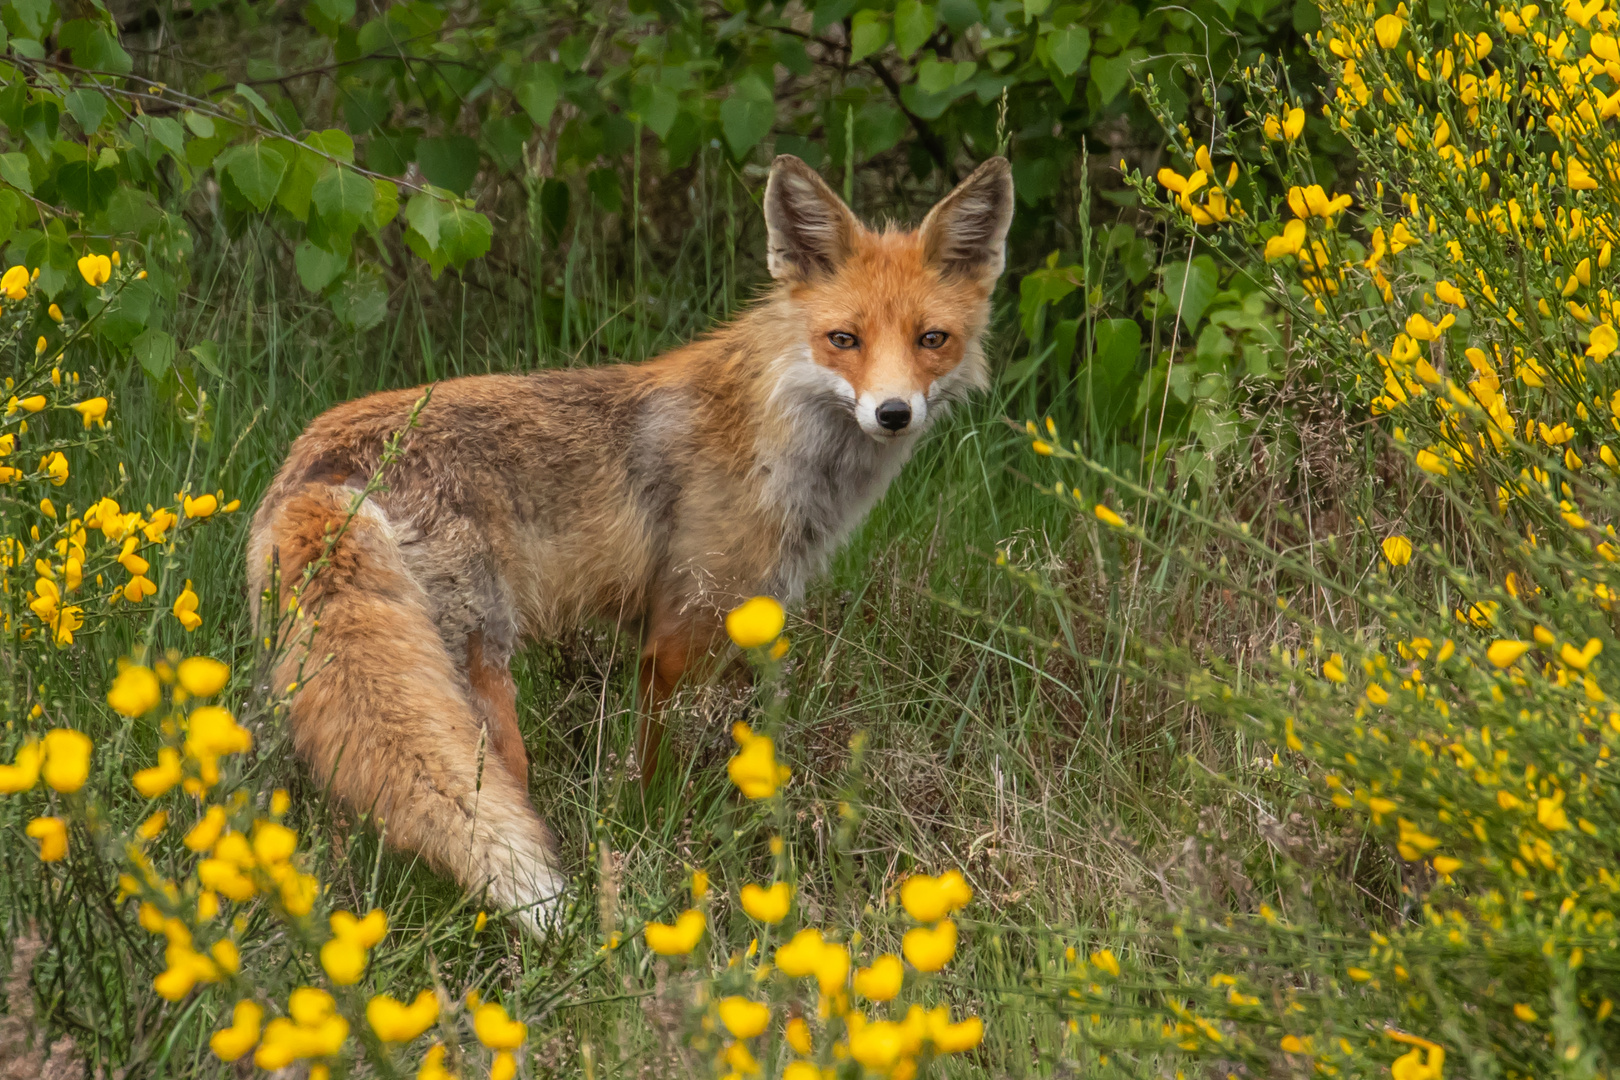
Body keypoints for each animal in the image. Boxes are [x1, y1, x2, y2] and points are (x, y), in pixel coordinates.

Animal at [244, 153, 1010, 939]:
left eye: (932, 340)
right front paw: (651, 832)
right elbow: (651, 770)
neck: (772, 427)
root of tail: (326, 461)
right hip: (484, 687)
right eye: (843, 339)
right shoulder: (678, 633)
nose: (893, 413)